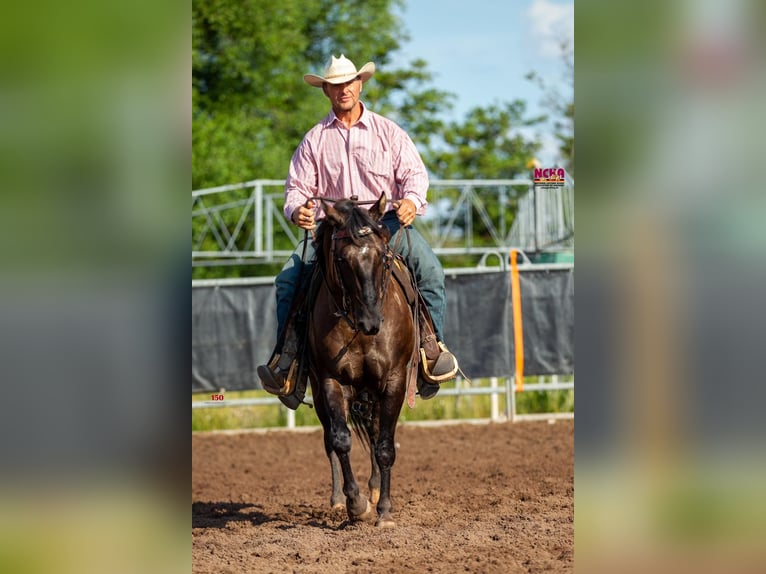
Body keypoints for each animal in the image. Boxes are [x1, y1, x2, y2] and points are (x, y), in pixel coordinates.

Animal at [307, 192, 417, 528]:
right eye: (342, 260)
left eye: (382, 257)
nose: (371, 322)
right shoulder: (331, 381)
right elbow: (341, 439)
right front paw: (356, 504)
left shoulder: (394, 381)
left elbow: (385, 447)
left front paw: (384, 511)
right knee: (330, 437)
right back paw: (339, 500)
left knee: (375, 431)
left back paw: (375, 490)